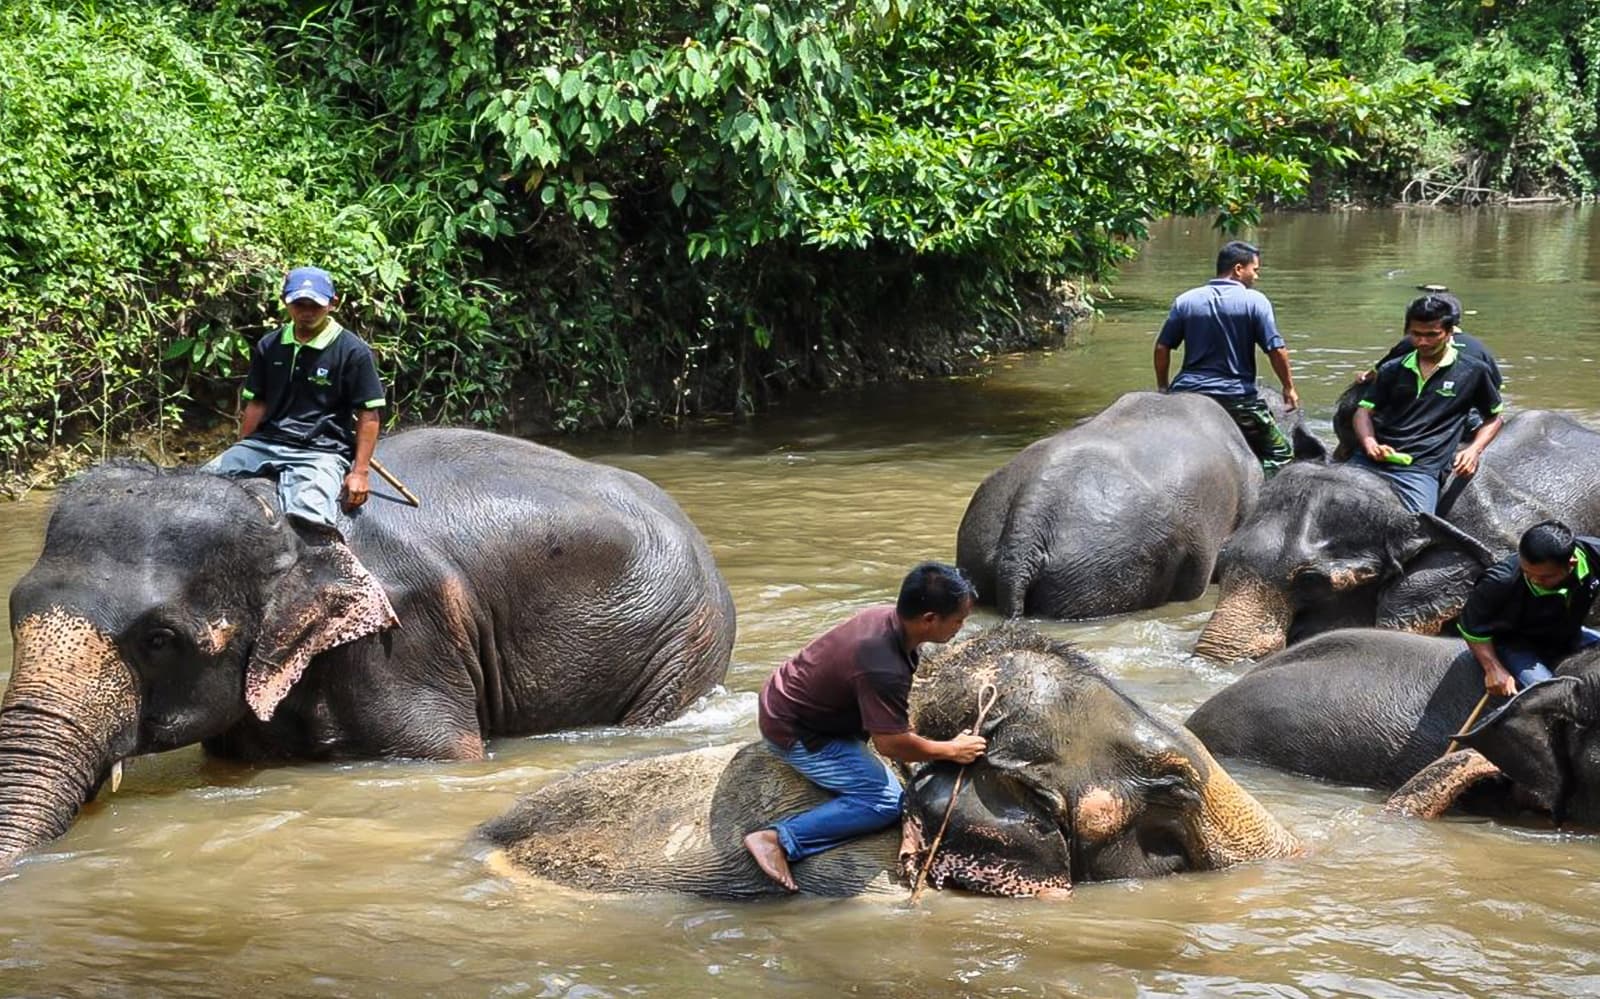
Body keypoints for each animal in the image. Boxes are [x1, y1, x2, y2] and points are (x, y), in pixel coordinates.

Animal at [1, 428, 736, 867]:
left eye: (160, 639)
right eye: (14, 613)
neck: (275, 512)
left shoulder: (404, 641)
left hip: (684, 640)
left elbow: (445, 753)